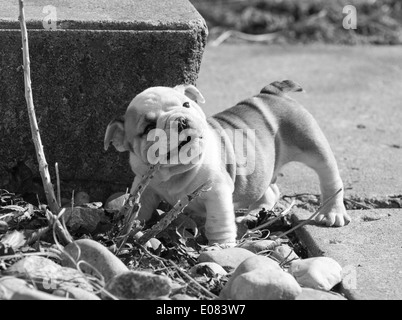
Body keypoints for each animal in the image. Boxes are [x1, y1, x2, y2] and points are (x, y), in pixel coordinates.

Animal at [105, 81, 350, 244]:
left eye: (186, 105)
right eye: (148, 128)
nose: (181, 120)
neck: (175, 172)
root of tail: (271, 93)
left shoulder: (216, 192)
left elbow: (218, 221)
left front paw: (221, 246)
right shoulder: (144, 188)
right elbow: (138, 208)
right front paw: (126, 228)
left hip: (310, 142)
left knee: (329, 175)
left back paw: (332, 212)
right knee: (270, 190)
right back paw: (255, 213)